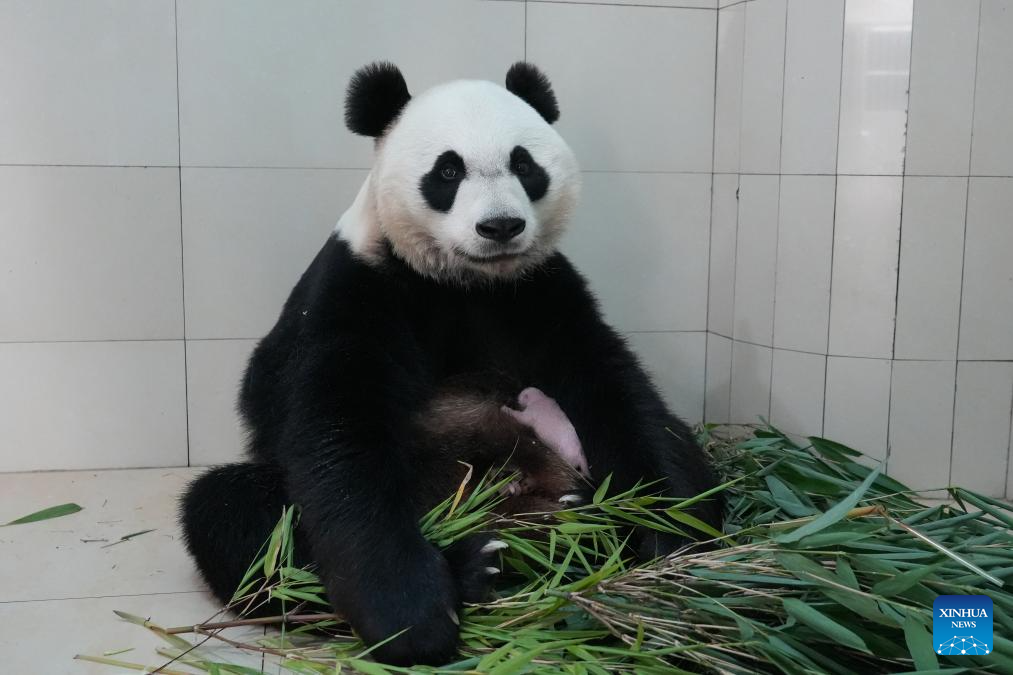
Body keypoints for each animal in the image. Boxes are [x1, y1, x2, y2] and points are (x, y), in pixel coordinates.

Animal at [180, 61, 722, 667]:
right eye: (447, 170)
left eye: (524, 164)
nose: (501, 226)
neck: (465, 279)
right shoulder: (362, 286)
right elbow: (338, 430)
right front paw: (411, 618)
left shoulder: (539, 293)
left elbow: (612, 388)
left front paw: (667, 540)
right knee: (238, 520)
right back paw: (478, 564)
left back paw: (569, 534)